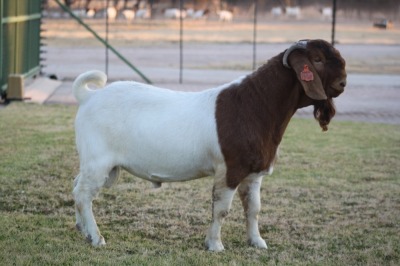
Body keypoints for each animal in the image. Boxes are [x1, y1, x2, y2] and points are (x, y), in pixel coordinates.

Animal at [72, 38, 346, 250]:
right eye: (318, 59)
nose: (343, 82)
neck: (255, 105)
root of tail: (89, 96)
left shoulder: (254, 173)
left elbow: (253, 208)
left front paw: (257, 242)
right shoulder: (230, 170)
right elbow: (221, 209)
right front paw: (214, 245)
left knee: (77, 188)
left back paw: (81, 229)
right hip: (98, 161)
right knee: (84, 194)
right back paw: (96, 237)